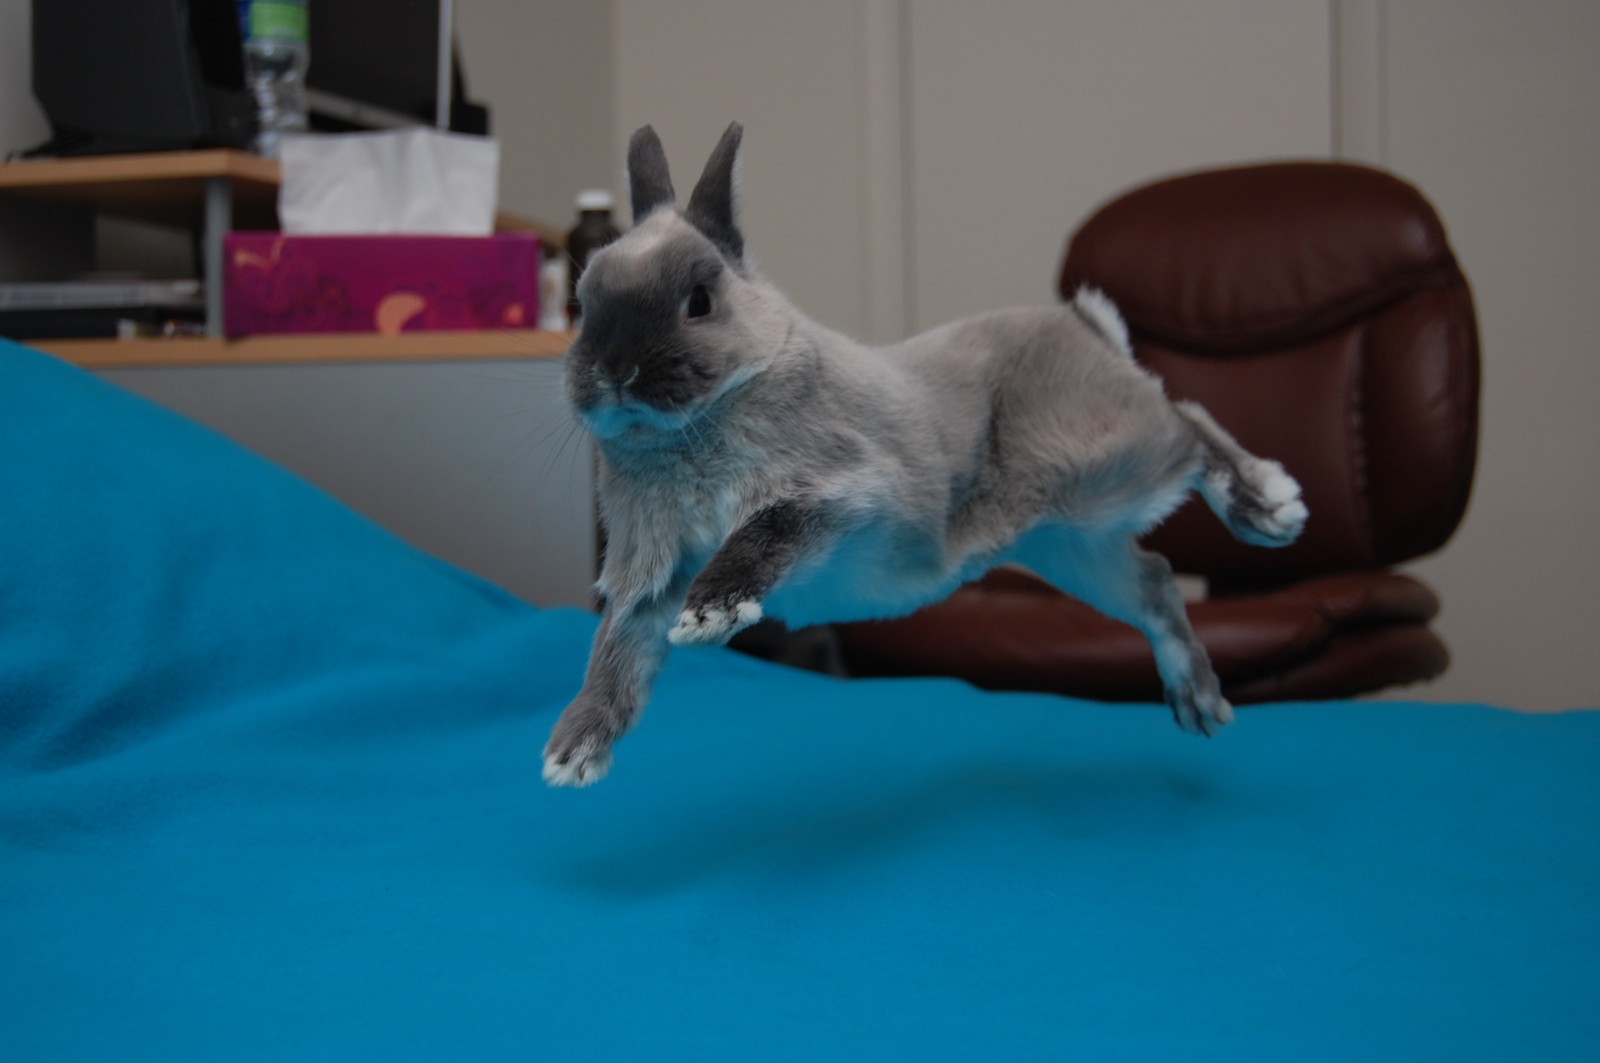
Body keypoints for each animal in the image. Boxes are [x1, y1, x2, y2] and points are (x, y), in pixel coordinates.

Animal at [542, 122, 1308, 787]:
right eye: (584, 299)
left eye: (698, 301)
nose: (614, 371)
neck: (694, 423)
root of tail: (1086, 330)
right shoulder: (647, 575)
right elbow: (616, 651)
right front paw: (571, 752)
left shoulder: (842, 490)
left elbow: (763, 533)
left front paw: (712, 613)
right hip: (1068, 544)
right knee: (1154, 580)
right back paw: (1197, 699)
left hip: (1109, 462)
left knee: (1191, 420)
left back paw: (1270, 506)